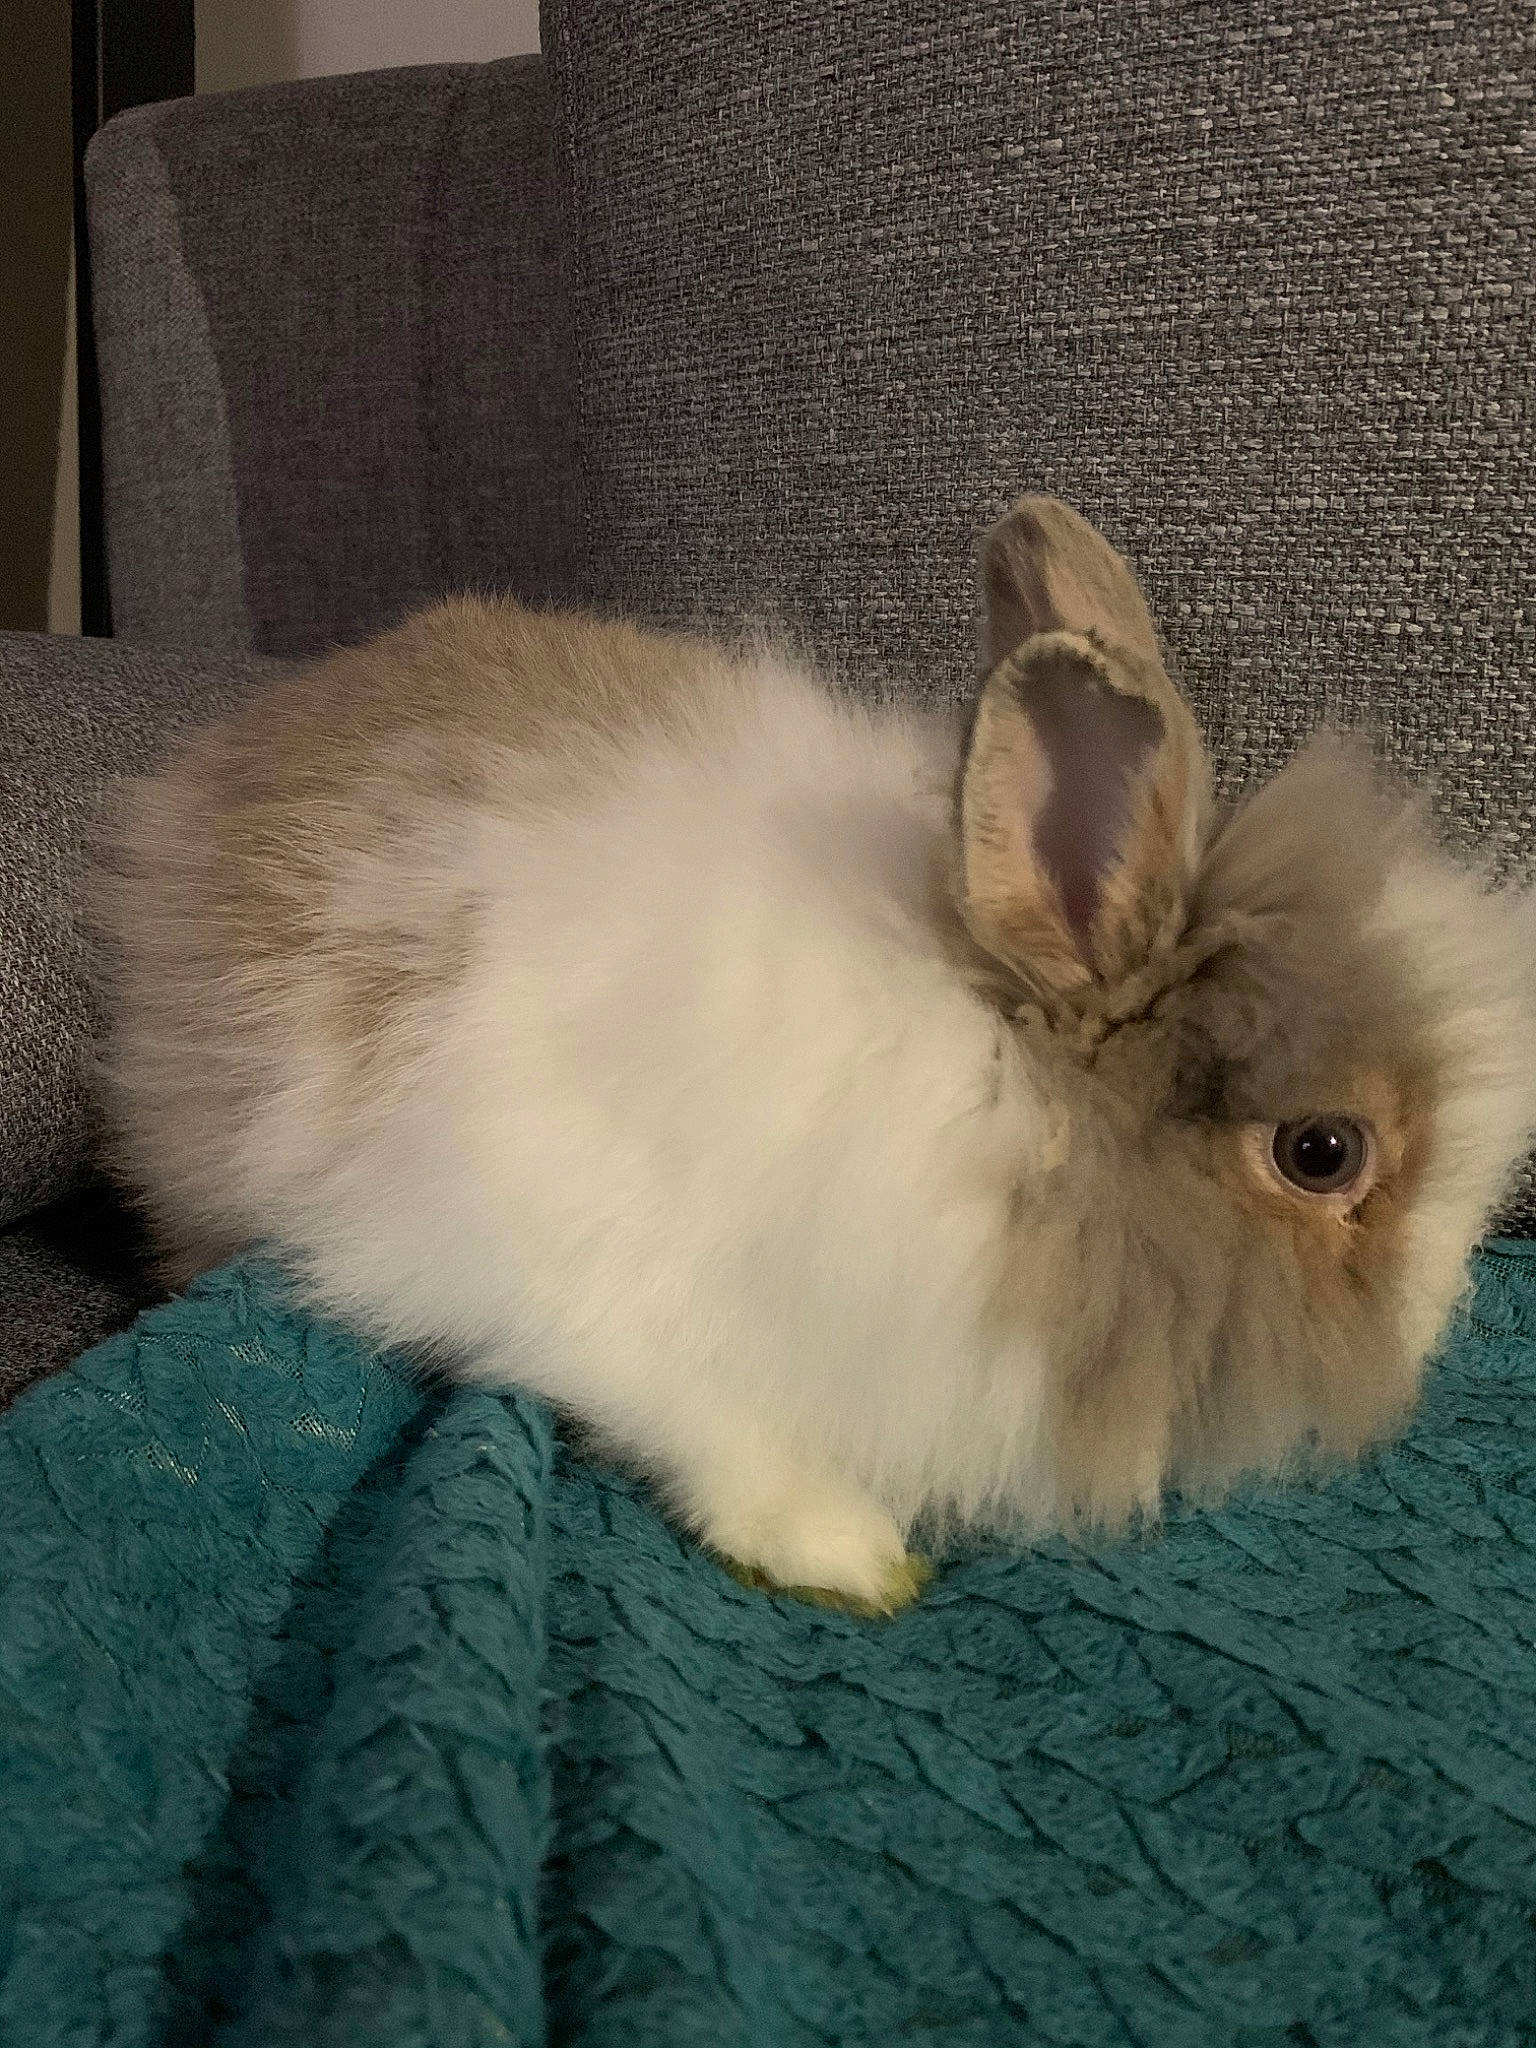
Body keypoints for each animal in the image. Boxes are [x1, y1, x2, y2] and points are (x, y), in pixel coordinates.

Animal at [94, 496, 1536, 1612]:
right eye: (1322, 1152)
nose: (1436, 1326)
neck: (998, 1116)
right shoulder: (569, 1279)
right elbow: (704, 1416)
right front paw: (843, 1551)